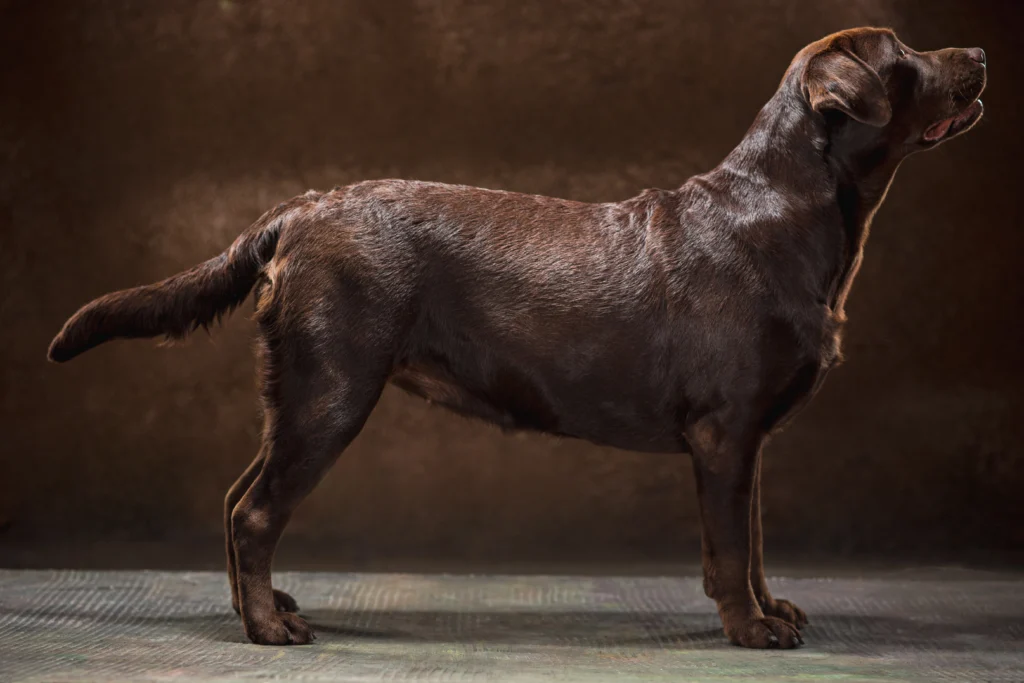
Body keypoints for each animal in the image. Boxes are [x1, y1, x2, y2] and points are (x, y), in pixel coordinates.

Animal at [46, 25, 983, 647]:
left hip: (303, 394)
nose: (978, 56)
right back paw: (268, 629)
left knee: (239, 496)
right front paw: (752, 628)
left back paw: (272, 608)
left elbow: (750, 540)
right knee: (254, 509)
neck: (790, 212)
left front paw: (771, 607)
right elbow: (727, 545)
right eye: (902, 54)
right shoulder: (725, 432)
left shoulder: (750, 439)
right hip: (330, 389)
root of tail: (300, 207)